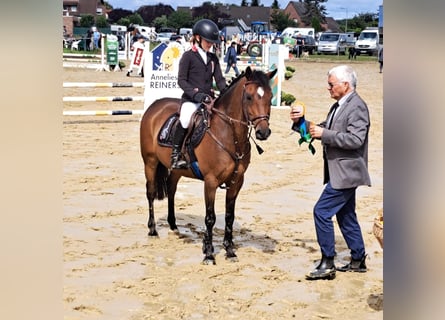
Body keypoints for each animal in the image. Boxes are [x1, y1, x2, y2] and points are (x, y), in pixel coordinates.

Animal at [140, 66, 276, 264]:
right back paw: (152, 230)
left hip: (176, 170)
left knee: (171, 191)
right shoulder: (211, 182)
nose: (263, 132)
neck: (229, 135)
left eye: (270, 96)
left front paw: (229, 250)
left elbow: (229, 216)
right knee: (150, 193)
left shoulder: (236, 182)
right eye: (249, 97)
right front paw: (209, 254)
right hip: (150, 162)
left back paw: (173, 225)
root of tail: (155, 105)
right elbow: (210, 217)